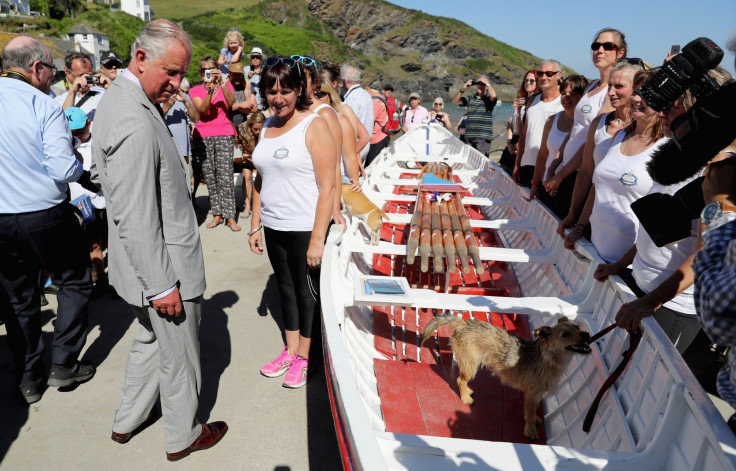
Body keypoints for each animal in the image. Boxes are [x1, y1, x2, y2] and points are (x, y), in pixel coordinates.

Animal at [422, 316, 588, 440]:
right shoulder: (531, 394)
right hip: (471, 365)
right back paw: (465, 398)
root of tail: (463, 323)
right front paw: (530, 431)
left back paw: (468, 391)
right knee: (460, 380)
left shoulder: (536, 394)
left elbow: (533, 410)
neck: (547, 359)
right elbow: (530, 413)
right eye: (565, 335)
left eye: (577, 327)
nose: (587, 334)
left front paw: (535, 420)